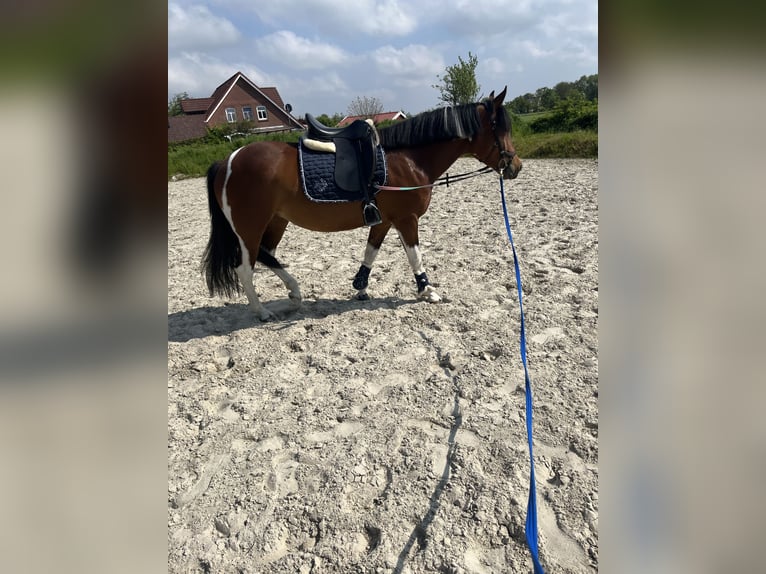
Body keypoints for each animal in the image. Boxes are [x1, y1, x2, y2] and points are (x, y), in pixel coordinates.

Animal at [200, 86, 520, 322]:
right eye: (498, 127)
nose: (515, 166)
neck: (408, 158)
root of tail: (227, 161)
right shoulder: (407, 219)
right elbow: (414, 255)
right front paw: (427, 290)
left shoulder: (385, 219)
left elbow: (371, 250)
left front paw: (361, 286)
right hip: (249, 227)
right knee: (245, 267)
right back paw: (263, 311)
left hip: (276, 221)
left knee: (267, 256)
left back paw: (293, 294)